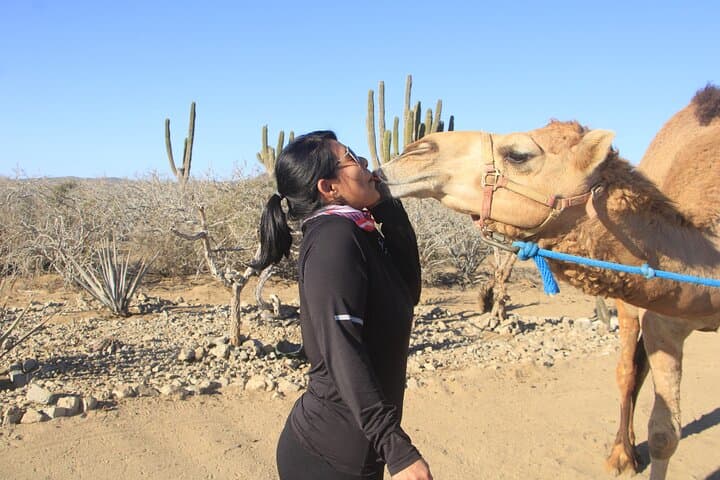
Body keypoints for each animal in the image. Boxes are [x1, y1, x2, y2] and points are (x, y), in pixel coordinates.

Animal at [377, 85, 720, 480]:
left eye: (518, 154)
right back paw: (622, 455)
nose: (414, 150)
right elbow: (664, 434)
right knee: (628, 371)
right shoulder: (663, 322)